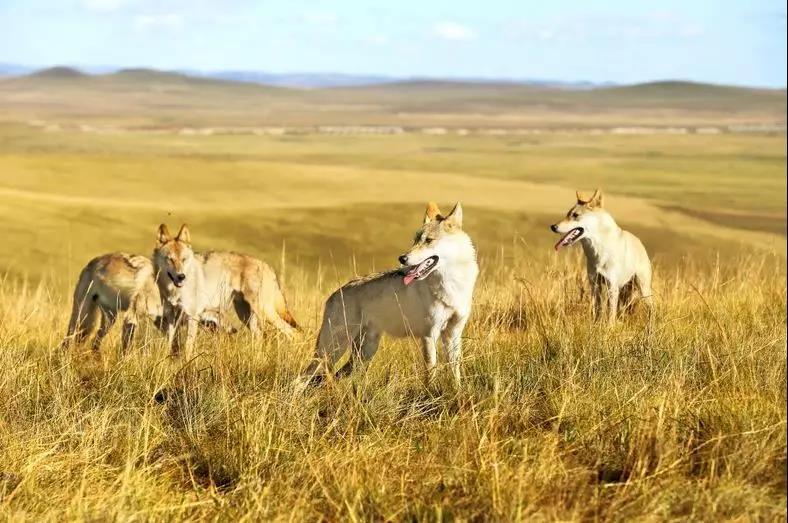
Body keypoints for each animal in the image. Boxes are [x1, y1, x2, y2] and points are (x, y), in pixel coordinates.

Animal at [300, 203, 474, 386]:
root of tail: (333, 295)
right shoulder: (429, 335)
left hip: (363, 354)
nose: (402, 258)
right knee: (302, 378)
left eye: (428, 240)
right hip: (332, 351)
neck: (452, 282)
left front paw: (457, 390)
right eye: (415, 240)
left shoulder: (453, 335)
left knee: (337, 375)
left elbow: (455, 371)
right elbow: (431, 372)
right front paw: (432, 391)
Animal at [548, 190, 652, 326]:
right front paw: (596, 325)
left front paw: (610, 328)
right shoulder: (595, 284)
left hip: (643, 289)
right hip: (623, 290)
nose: (553, 227)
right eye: (567, 214)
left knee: (651, 309)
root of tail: (639, 241)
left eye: (575, 215)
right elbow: (598, 309)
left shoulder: (611, 286)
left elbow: (610, 314)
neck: (598, 251)